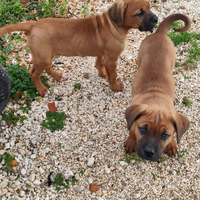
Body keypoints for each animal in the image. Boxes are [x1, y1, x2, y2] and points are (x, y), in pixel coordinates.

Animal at [0, 0, 158, 97]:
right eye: (139, 13)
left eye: (149, 6)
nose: (156, 19)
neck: (113, 25)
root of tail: (33, 25)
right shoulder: (112, 59)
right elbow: (113, 74)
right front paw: (116, 86)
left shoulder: (103, 53)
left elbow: (99, 63)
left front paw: (102, 73)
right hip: (42, 57)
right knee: (33, 73)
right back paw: (42, 90)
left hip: (46, 55)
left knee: (47, 68)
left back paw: (58, 76)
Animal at [125, 13, 191, 162]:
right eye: (143, 130)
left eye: (165, 135)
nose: (149, 153)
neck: (156, 100)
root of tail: (159, 33)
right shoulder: (133, 123)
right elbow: (131, 132)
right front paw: (131, 142)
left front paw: (171, 145)